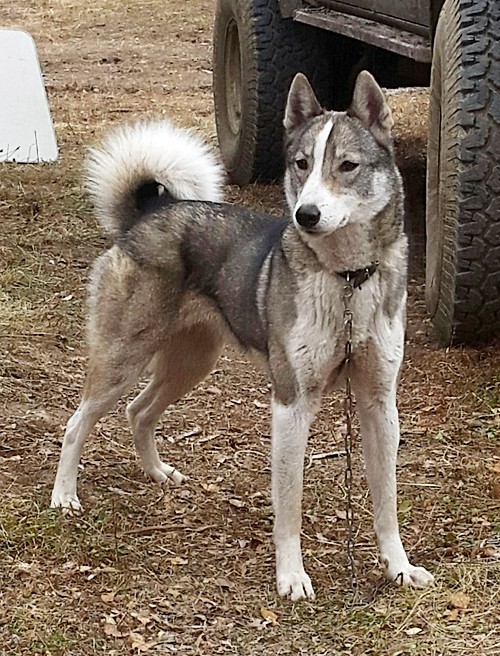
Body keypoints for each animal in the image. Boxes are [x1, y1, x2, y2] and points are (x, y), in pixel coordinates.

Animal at [50, 71, 434, 600]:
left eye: (347, 166)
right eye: (301, 164)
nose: (306, 214)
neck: (346, 281)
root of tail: (150, 212)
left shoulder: (379, 404)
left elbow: (387, 502)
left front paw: (398, 566)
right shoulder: (291, 405)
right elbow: (289, 504)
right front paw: (291, 576)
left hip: (191, 364)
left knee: (138, 412)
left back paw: (157, 472)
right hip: (123, 360)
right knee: (77, 422)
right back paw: (64, 494)